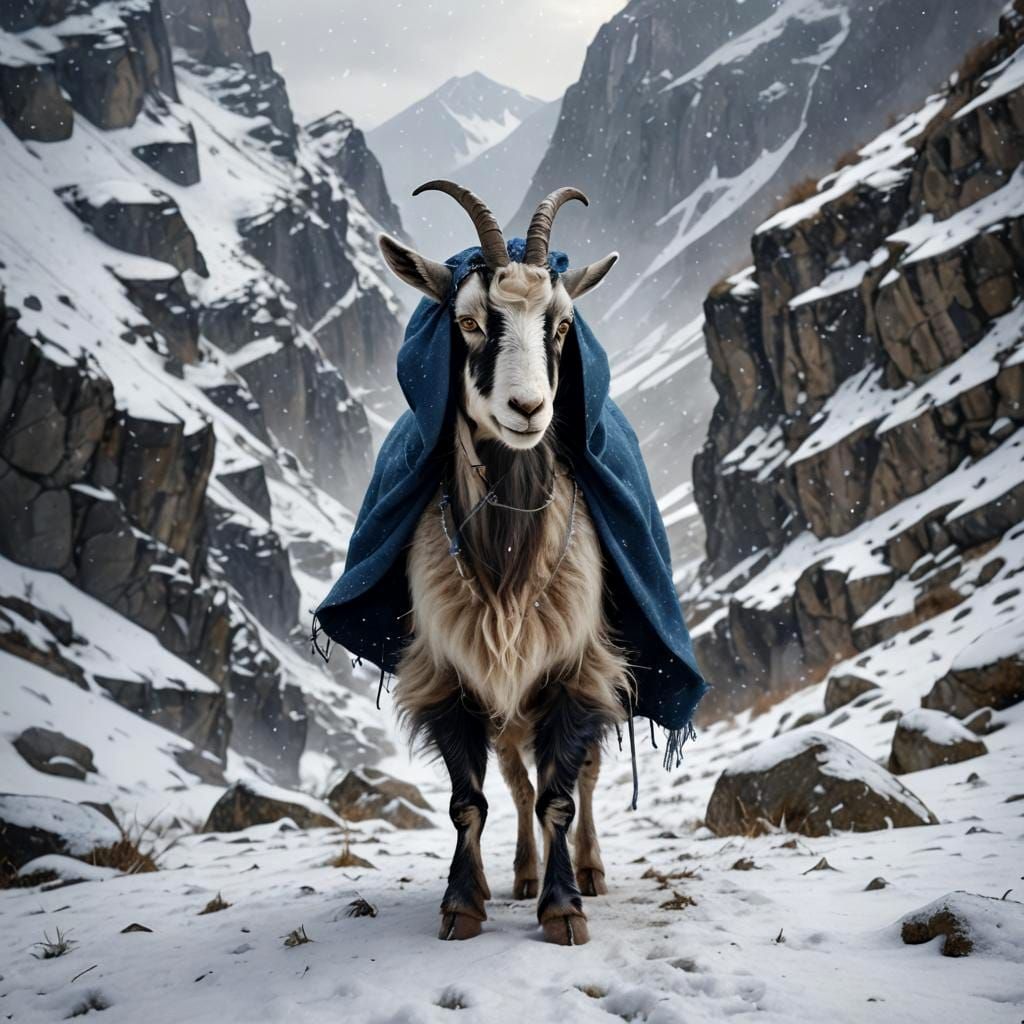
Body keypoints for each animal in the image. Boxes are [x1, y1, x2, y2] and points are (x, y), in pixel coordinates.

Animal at [377, 181, 628, 946]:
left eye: (561, 327)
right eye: (468, 322)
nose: (528, 408)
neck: (508, 566)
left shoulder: (579, 668)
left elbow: (560, 798)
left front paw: (565, 907)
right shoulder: (451, 673)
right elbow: (470, 801)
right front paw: (464, 902)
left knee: (581, 779)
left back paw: (589, 870)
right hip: (506, 707)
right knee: (515, 783)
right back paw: (517, 873)